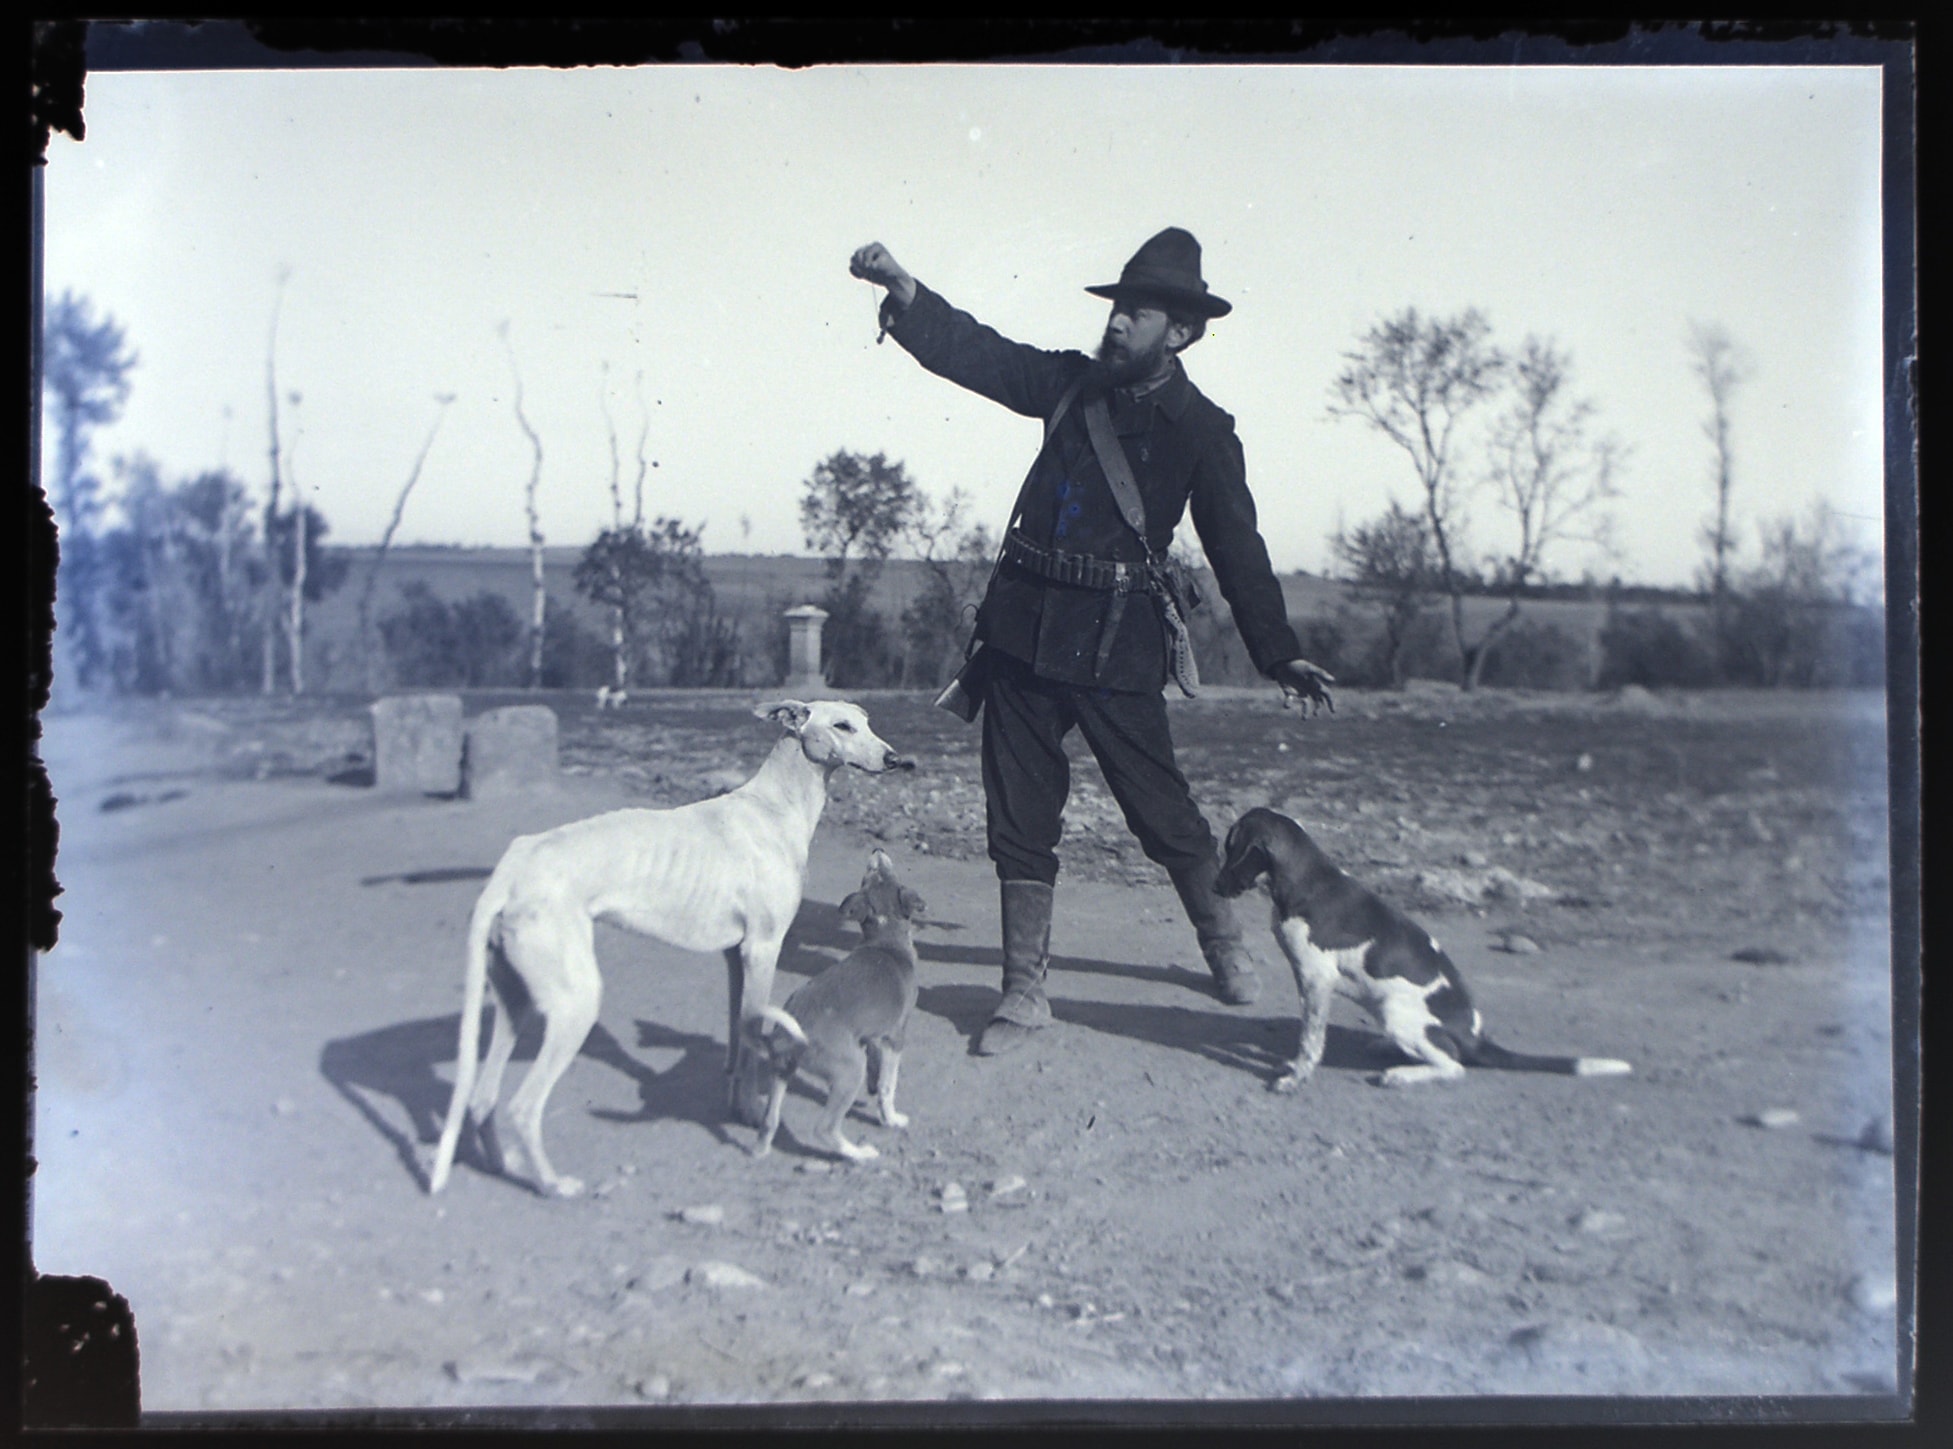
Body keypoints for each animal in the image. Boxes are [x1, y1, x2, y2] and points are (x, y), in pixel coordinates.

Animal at [745, 849, 924, 1162]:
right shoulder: (895, 1036)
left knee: (769, 1122)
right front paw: (890, 1118)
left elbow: (876, 1067)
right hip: (849, 1071)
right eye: (875, 871)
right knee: (824, 1130)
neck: (884, 939)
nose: (877, 850)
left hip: (782, 1072)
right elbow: (888, 1086)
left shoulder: (868, 1034)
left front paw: (873, 1086)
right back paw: (860, 1154)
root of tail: (784, 1037)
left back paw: (760, 1150)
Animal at [1213, 808, 1631, 1091]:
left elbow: (1310, 1041)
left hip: (1394, 1012)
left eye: (1231, 846)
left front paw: (1295, 1077)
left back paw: (1400, 1075)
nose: (1215, 887)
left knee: (1455, 1066)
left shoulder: (1316, 980)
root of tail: (1475, 1037)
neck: (1307, 879)